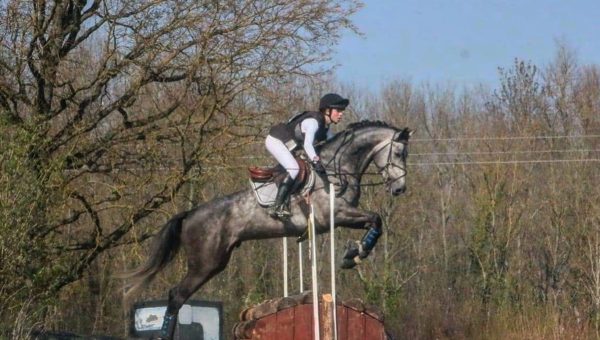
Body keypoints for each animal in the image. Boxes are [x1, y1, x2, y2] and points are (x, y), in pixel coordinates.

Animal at [122, 121, 412, 338]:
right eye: (399, 153)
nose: (400, 189)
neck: (335, 168)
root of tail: (190, 214)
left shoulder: (343, 216)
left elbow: (374, 222)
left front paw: (354, 253)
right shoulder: (336, 214)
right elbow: (376, 219)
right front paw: (354, 254)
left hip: (216, 261)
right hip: (204, 262)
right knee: (177, 296)